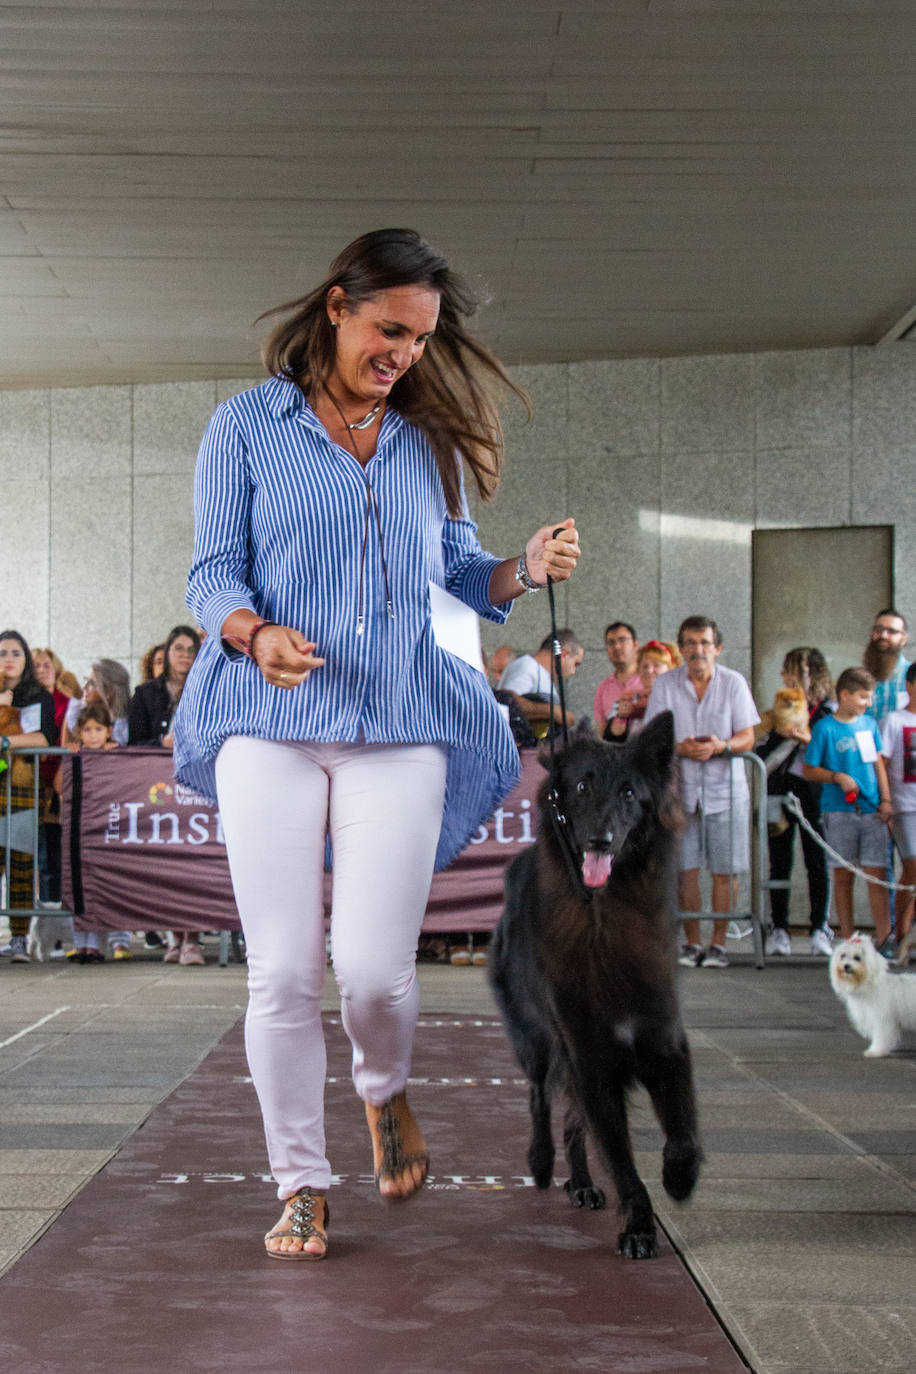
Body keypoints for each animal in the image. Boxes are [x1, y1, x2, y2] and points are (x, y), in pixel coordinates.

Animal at [491, 714, 708, 1258]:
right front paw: (639, 1225)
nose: (599, 840)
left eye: (630, 792)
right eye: (583, 787)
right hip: (537, 1040)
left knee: (571, 1119)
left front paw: (679, 1177)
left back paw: (583, 1182)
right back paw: (542, 1162)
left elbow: (683, 1134)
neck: (603, 919)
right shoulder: (588, 1056)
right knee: (540, 1096)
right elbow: (622, 1160)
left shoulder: (663, 1042)